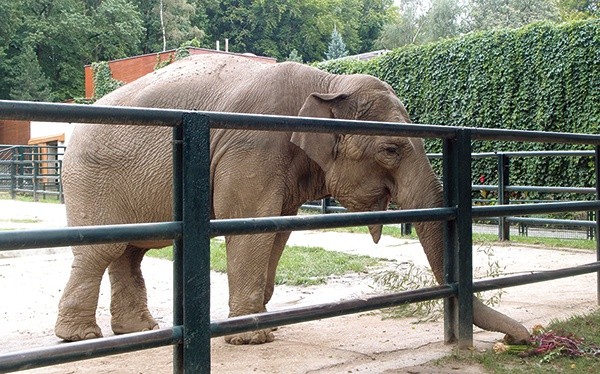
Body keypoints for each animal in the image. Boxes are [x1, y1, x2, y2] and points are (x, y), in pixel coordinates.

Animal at [54, 51, 528, 344]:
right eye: (391, 150)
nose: (523, 337)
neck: (327, 82)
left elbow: (277, 232)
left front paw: (266, 326)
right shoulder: (252, 146)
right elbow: (250, 228)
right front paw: (253, 338)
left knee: (129, 252)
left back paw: (136, 331)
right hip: (90, 180)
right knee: (102, 250)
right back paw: (81, 338)